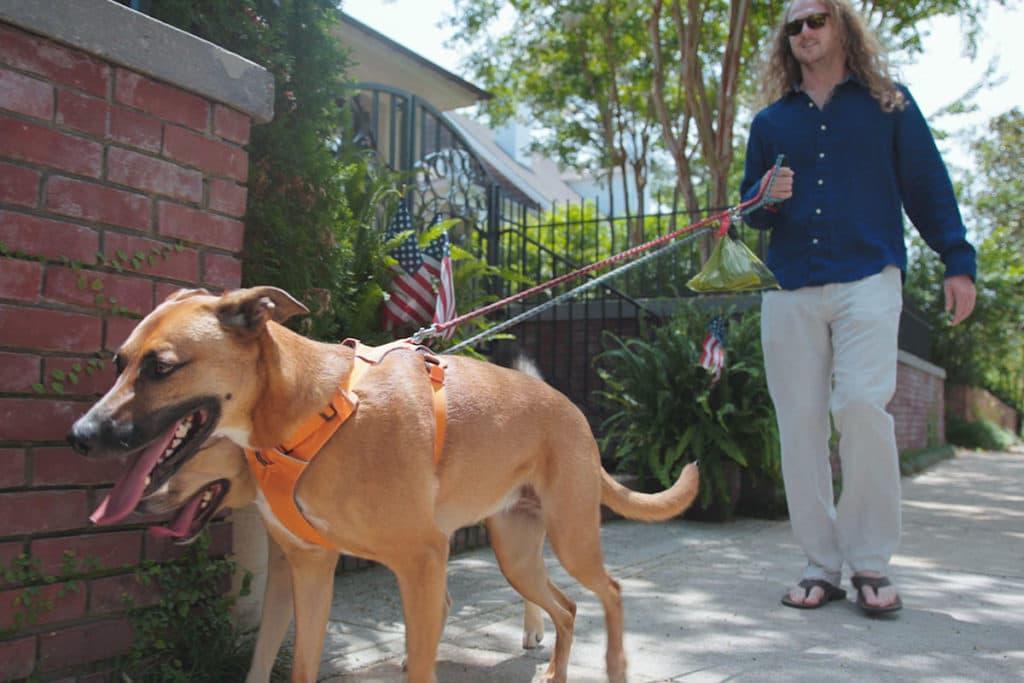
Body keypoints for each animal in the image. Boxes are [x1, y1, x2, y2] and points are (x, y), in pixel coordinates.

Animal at [70, 286, 696, 683]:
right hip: (516, 552)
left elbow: (421, 661)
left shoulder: (422, 561)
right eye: (119, 362)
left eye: (162, 367)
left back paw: (613, 666)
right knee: (566, 608)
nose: (80, 435)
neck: (310, 416)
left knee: (610, 591)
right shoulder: (307, 567)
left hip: (569, 537)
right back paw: (554, 670)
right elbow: (291, 663)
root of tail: (571, 409)